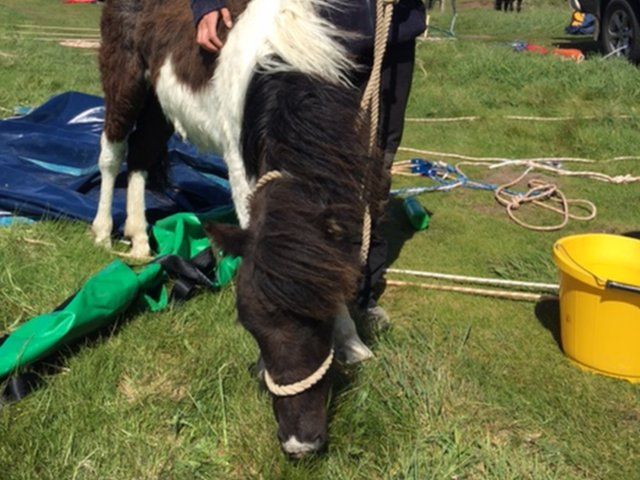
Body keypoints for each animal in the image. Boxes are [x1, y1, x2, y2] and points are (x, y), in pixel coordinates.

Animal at [92, 0, 388, 458]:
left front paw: (353, 344)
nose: (300, 443)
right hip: (124, 72)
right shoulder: (238, 157)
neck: (287, 52)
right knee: (113, 150)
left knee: (141, 154)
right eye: (250, 326)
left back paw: (141, 240)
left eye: (319, 318)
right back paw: (105, 232)